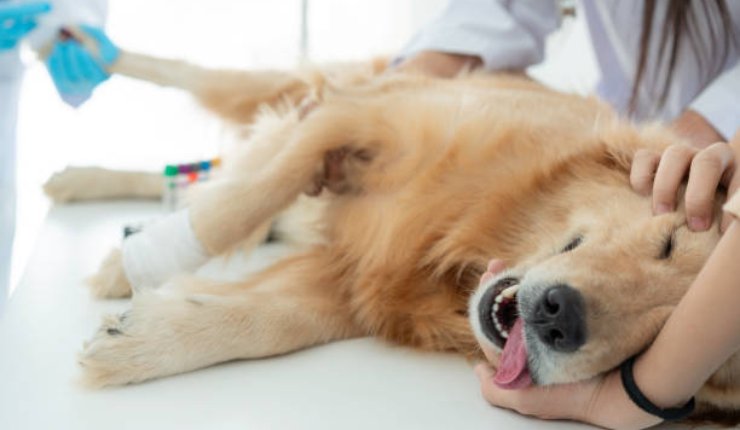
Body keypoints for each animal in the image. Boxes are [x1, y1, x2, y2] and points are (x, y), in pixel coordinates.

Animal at [56, 28, 740, 424]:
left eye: (664, 340)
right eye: (668, 240)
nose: (559, 318)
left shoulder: (354, 281)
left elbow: (274, 321)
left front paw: (140, 340)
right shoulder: (358, 116)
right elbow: (243, 201)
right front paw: (135, 266)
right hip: (314, 86)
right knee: (197, 84)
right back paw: (76, 53)